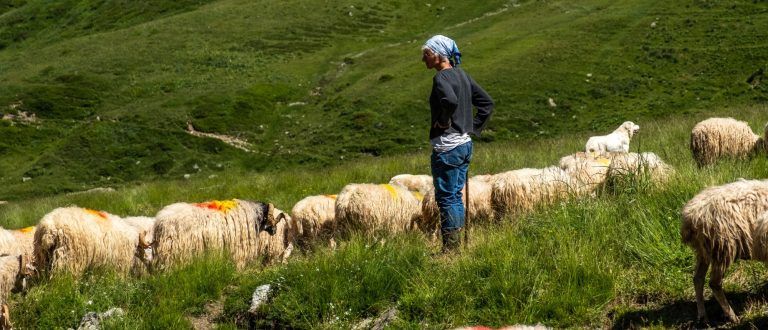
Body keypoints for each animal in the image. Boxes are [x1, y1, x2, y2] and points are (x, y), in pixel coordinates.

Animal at [680, 179, 768, 324]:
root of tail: (690, 216)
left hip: (704, 250)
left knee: (698, 278)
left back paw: (703, 316)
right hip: (723, 247)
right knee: (714, 283)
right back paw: (732, 316)